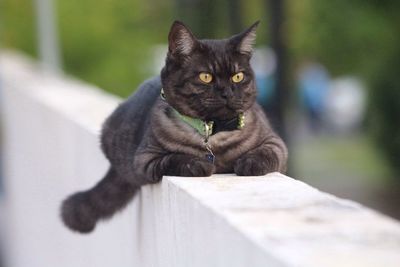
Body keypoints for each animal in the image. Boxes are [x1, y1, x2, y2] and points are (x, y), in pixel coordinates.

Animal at [61, 21, 288, 234]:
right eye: (206, 76)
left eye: (237, 76)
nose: (227, 93)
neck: (212, 131)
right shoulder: (146, 159)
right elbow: (174, 158)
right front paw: (198, 164)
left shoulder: (276, 143)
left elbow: (265, 152)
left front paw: (250, 163)